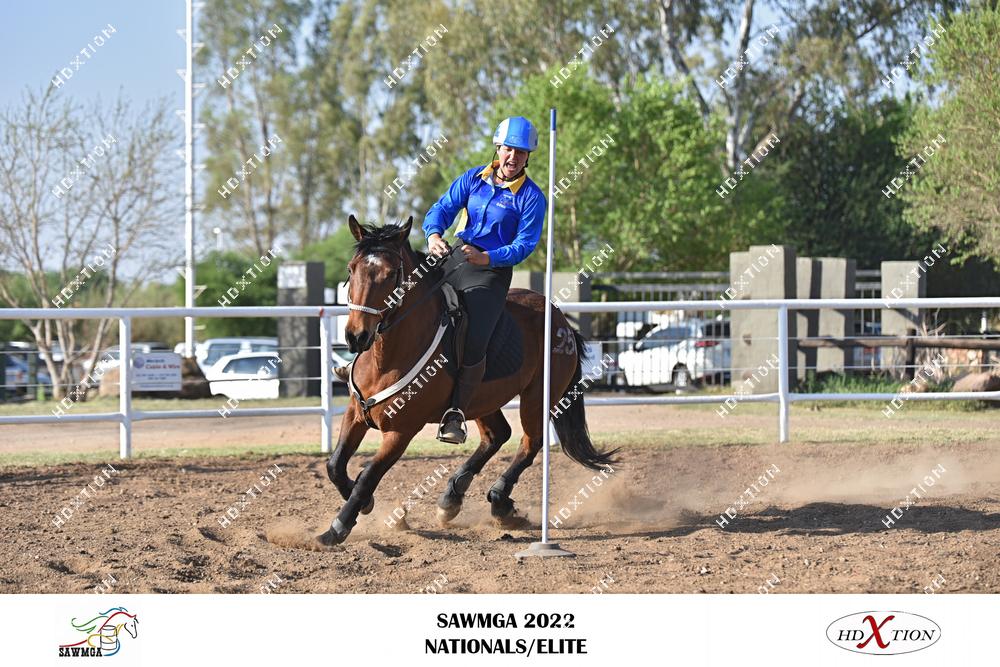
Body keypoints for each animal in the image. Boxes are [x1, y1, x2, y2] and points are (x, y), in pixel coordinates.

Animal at [317, 216, 617, 546]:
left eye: (391, 273)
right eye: (351, 269)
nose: (356, 336)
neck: (389, 358)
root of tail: (562, 321)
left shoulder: (401, 431)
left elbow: (369, 473)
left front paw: (338, 526)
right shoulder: (356, 414)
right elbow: (335, 465)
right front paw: (366, 504)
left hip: (538, 396)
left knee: (530, 442)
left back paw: (500, 501)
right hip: (481, 401)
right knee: (497, 435)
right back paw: (452, 498)